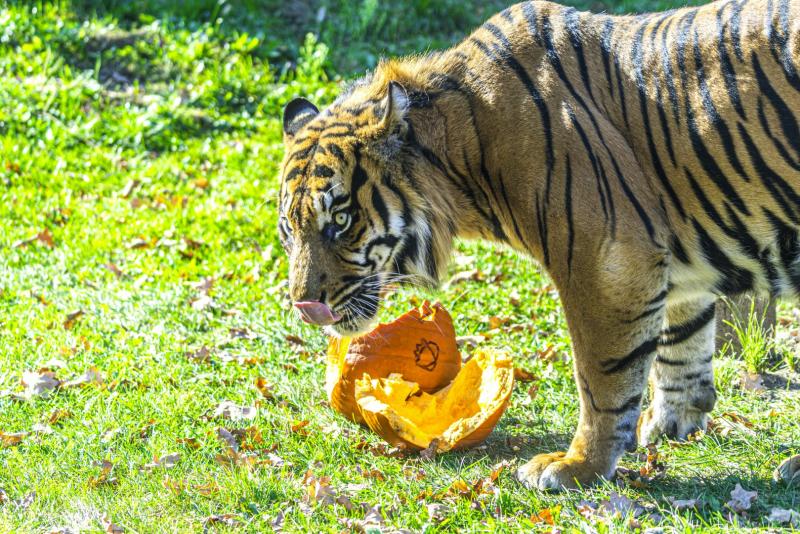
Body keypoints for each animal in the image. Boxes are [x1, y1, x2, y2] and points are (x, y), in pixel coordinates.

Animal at [276, 0, 800, 490]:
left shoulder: (608, 259)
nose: (304, 305)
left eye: (340, 220)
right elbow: (683, 340)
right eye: (289, 229)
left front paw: (579, 465)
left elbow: (602, 376)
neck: (463, 153)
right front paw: (674, 421)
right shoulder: (674, 258)